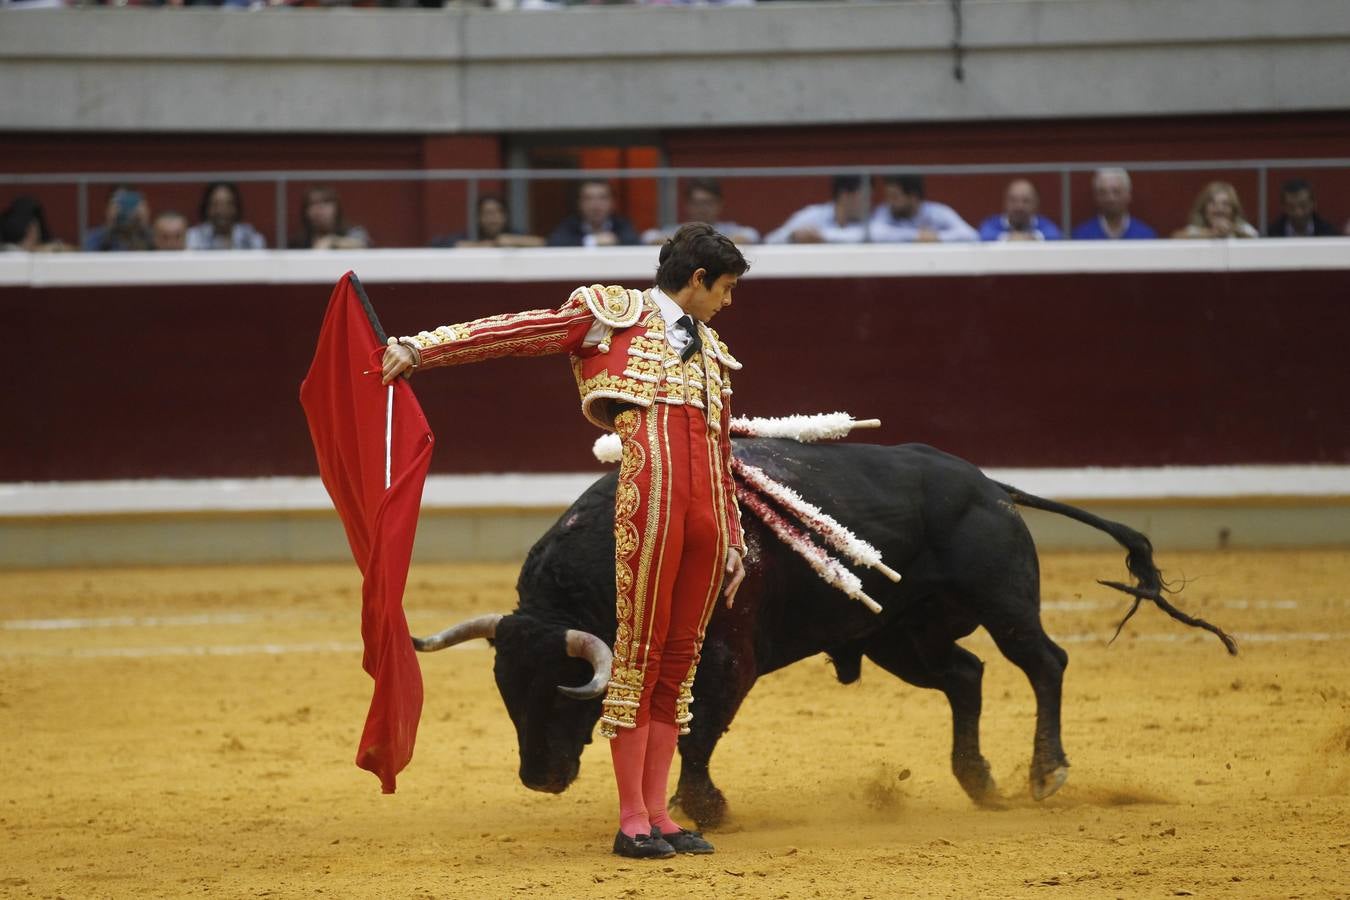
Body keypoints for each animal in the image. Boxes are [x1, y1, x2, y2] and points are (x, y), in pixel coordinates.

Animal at [413, 439, 1236, 825]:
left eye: (560, 694)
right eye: (507, 697)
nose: (539, 777)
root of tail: (987, 485)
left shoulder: (728, 661)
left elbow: (697, 734)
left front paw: (705, 806)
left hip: (1002, 604)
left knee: (1045, 663)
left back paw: (1045, 771)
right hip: (899, 637)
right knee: (965, 677)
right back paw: (978, 780)